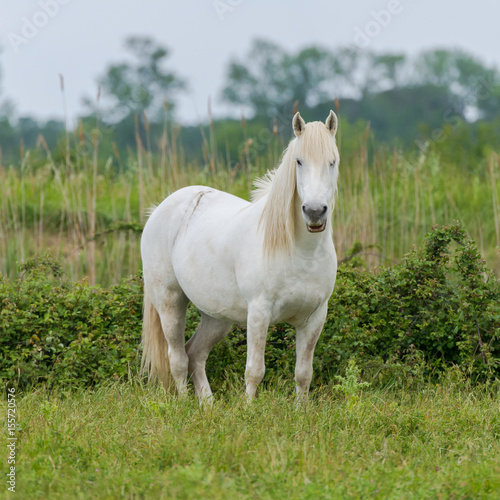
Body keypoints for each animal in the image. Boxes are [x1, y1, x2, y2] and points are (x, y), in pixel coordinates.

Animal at [142, 111, 340, 400]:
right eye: (299, 161)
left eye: (332, 162)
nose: (314, 212)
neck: (301, 253)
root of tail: (160, 208)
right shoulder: (258, 313)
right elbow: (255, 371)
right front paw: (249, 408)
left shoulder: (314, 318)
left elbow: (304, 374)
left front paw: (300, 409)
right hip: (170, 303)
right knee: (177, 359)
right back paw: (184, 402)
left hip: (216, 316)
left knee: (195, 354)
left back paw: (208, 404)